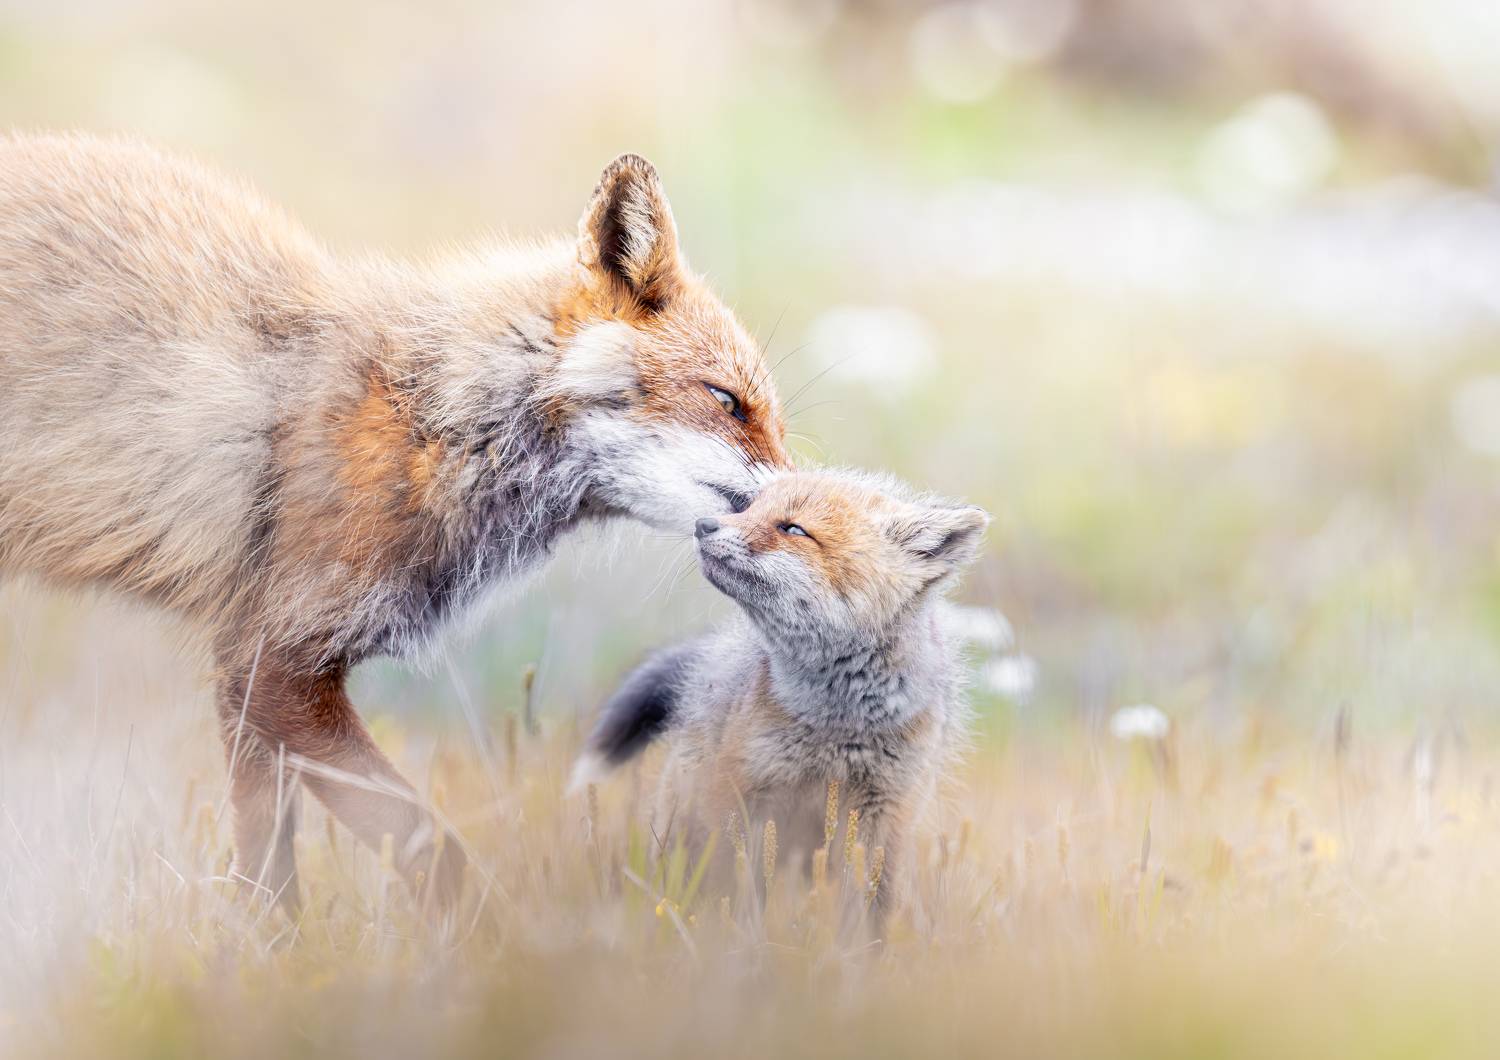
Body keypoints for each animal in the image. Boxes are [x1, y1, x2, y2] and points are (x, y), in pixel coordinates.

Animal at [0, 133, 790, 911]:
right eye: (726, 400)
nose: (802, 501)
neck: (436, 422)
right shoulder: (273, 660)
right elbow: (429, 851)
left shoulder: (247, 667)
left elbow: (266, 866)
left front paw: (265, 945)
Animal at [573, 469, 987, 912]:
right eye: (747, 508)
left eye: (793, 528)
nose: (703, 524)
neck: (839, 723)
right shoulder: (741, 791)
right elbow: (734, 885)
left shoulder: (885, 812)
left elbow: (869, 905)